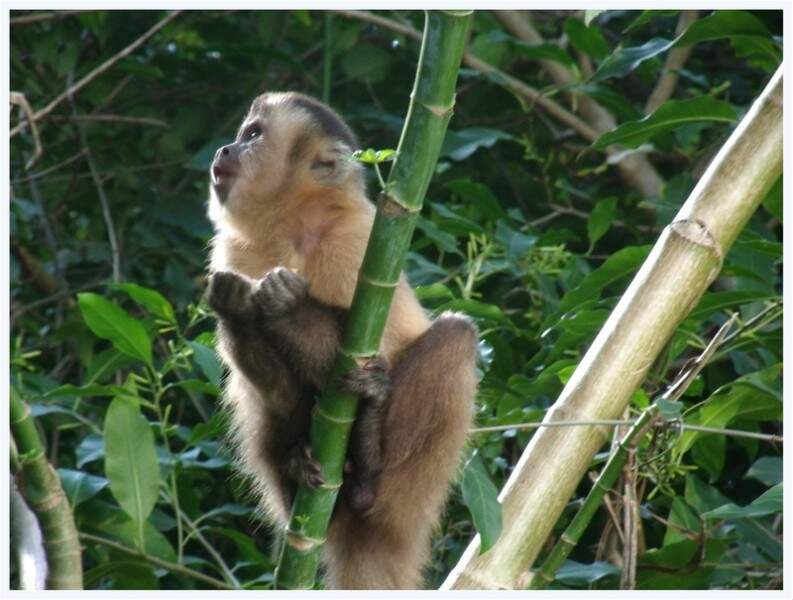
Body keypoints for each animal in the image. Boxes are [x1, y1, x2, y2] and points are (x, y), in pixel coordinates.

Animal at [206, 91, 476, 588]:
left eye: (253, 134)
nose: (225, 149)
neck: (291, 222)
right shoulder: (234, 250)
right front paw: (239, 306)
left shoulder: (358, 238)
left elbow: (369, 349)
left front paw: (288, 308)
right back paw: (297, 471)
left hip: (412, 494)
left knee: (456, 339)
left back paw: (367, 463)